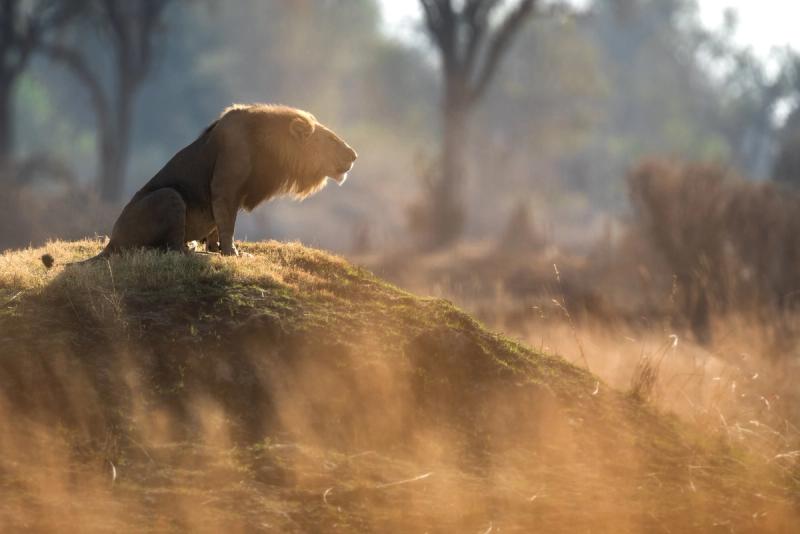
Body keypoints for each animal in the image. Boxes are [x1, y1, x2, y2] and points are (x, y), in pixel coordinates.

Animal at [60, 103, 357, 263]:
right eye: (331, 140)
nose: (354, 155)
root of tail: (111, 240)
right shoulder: (225, 186)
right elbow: (227, 224)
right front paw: (232, 253)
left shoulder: (228, 195)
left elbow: (217, 224)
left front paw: (216, 249)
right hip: (170, 196)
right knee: (169, 248)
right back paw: (190, 250)